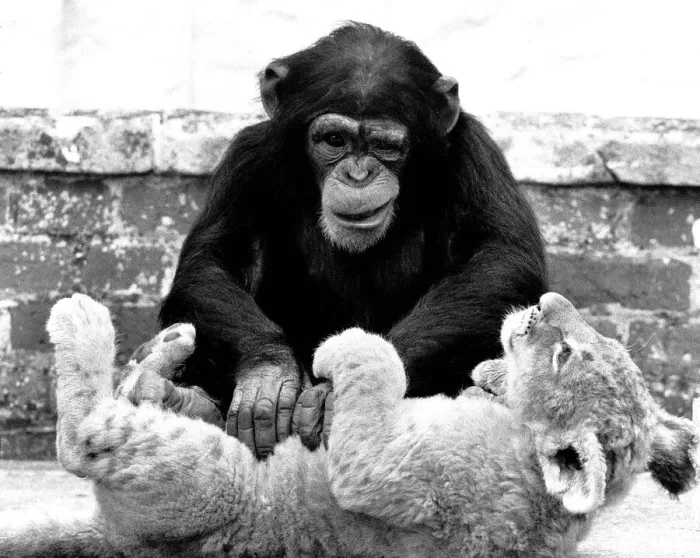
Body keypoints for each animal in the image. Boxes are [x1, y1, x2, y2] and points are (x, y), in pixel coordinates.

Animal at [0, 292, 697, 557]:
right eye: (589, 341)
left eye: (565, 355)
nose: (547, 300)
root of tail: (119, 541)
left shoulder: (388, 474)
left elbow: (379, 359)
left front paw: (345, 344)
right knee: (145, 393)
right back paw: (165, 350)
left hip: (208, 476)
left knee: (84, 436)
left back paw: (83, 319)